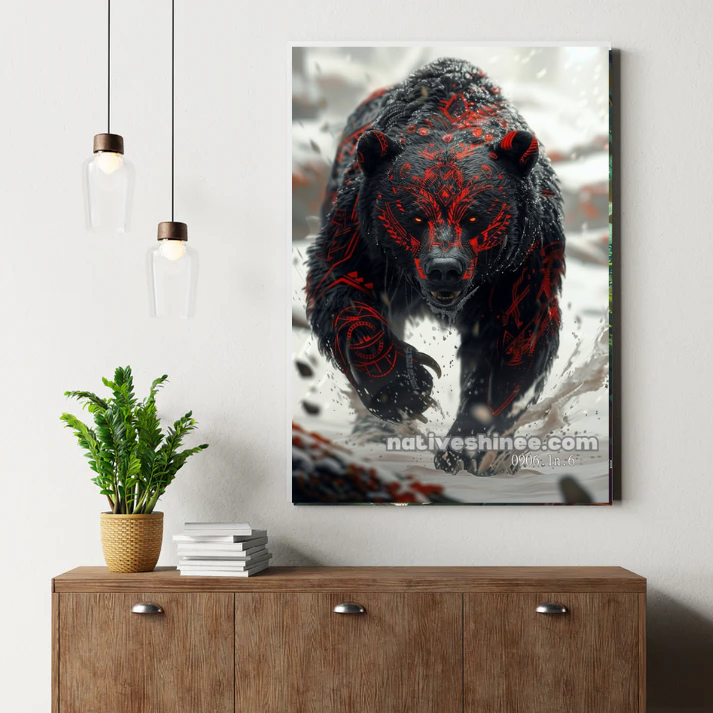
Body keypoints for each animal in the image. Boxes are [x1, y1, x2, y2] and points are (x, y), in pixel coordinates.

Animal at [305, 58, 565, 475]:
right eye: (414, 215)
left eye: (475, 216)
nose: (444, 268)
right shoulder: (362, 238)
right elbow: (341, 292)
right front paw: (409, 387)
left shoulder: (523, 264)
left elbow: (516, 337)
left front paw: (468, 448)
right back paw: (373, 428)